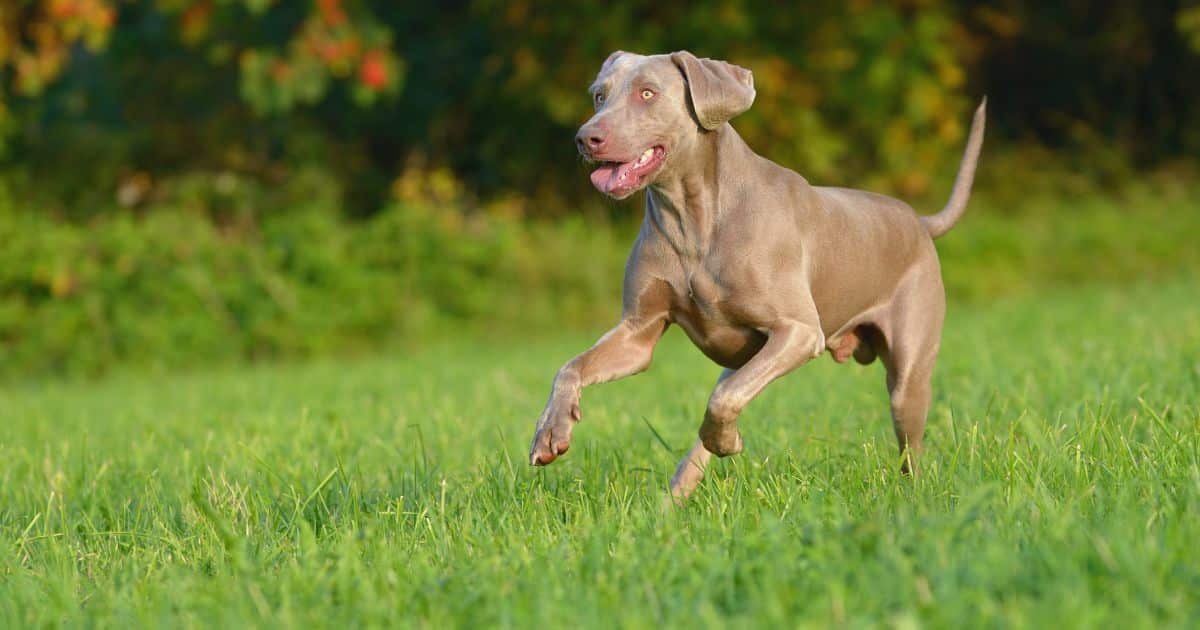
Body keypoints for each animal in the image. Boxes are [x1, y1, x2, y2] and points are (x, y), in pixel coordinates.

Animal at [525, 50, 984, 501]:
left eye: (648, 93)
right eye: (599, 96)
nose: (586, 138)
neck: (692, 217)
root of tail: (919, 222)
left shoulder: (799, 331)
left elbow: (722, 401)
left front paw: (728, 442)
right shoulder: (637, 333)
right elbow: (571, 366)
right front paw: (550, 431)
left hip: (908, 372)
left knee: (910, 446)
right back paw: (673, 498)